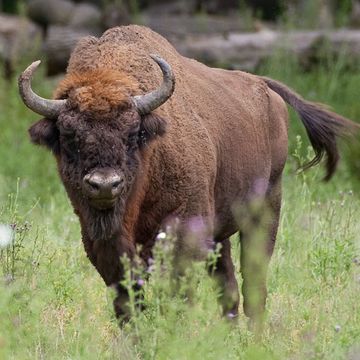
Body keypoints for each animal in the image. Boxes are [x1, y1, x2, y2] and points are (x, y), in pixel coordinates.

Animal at [19, 26, 358, 330]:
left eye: (133, 133)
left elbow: (176, 292)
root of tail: (265, 88)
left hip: (266, 208)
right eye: (69, 136)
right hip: (221, 231)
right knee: (228, 285)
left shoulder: (184, 229)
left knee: (253, 280)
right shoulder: (103, 244)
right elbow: (128, 301)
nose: (105, 184)